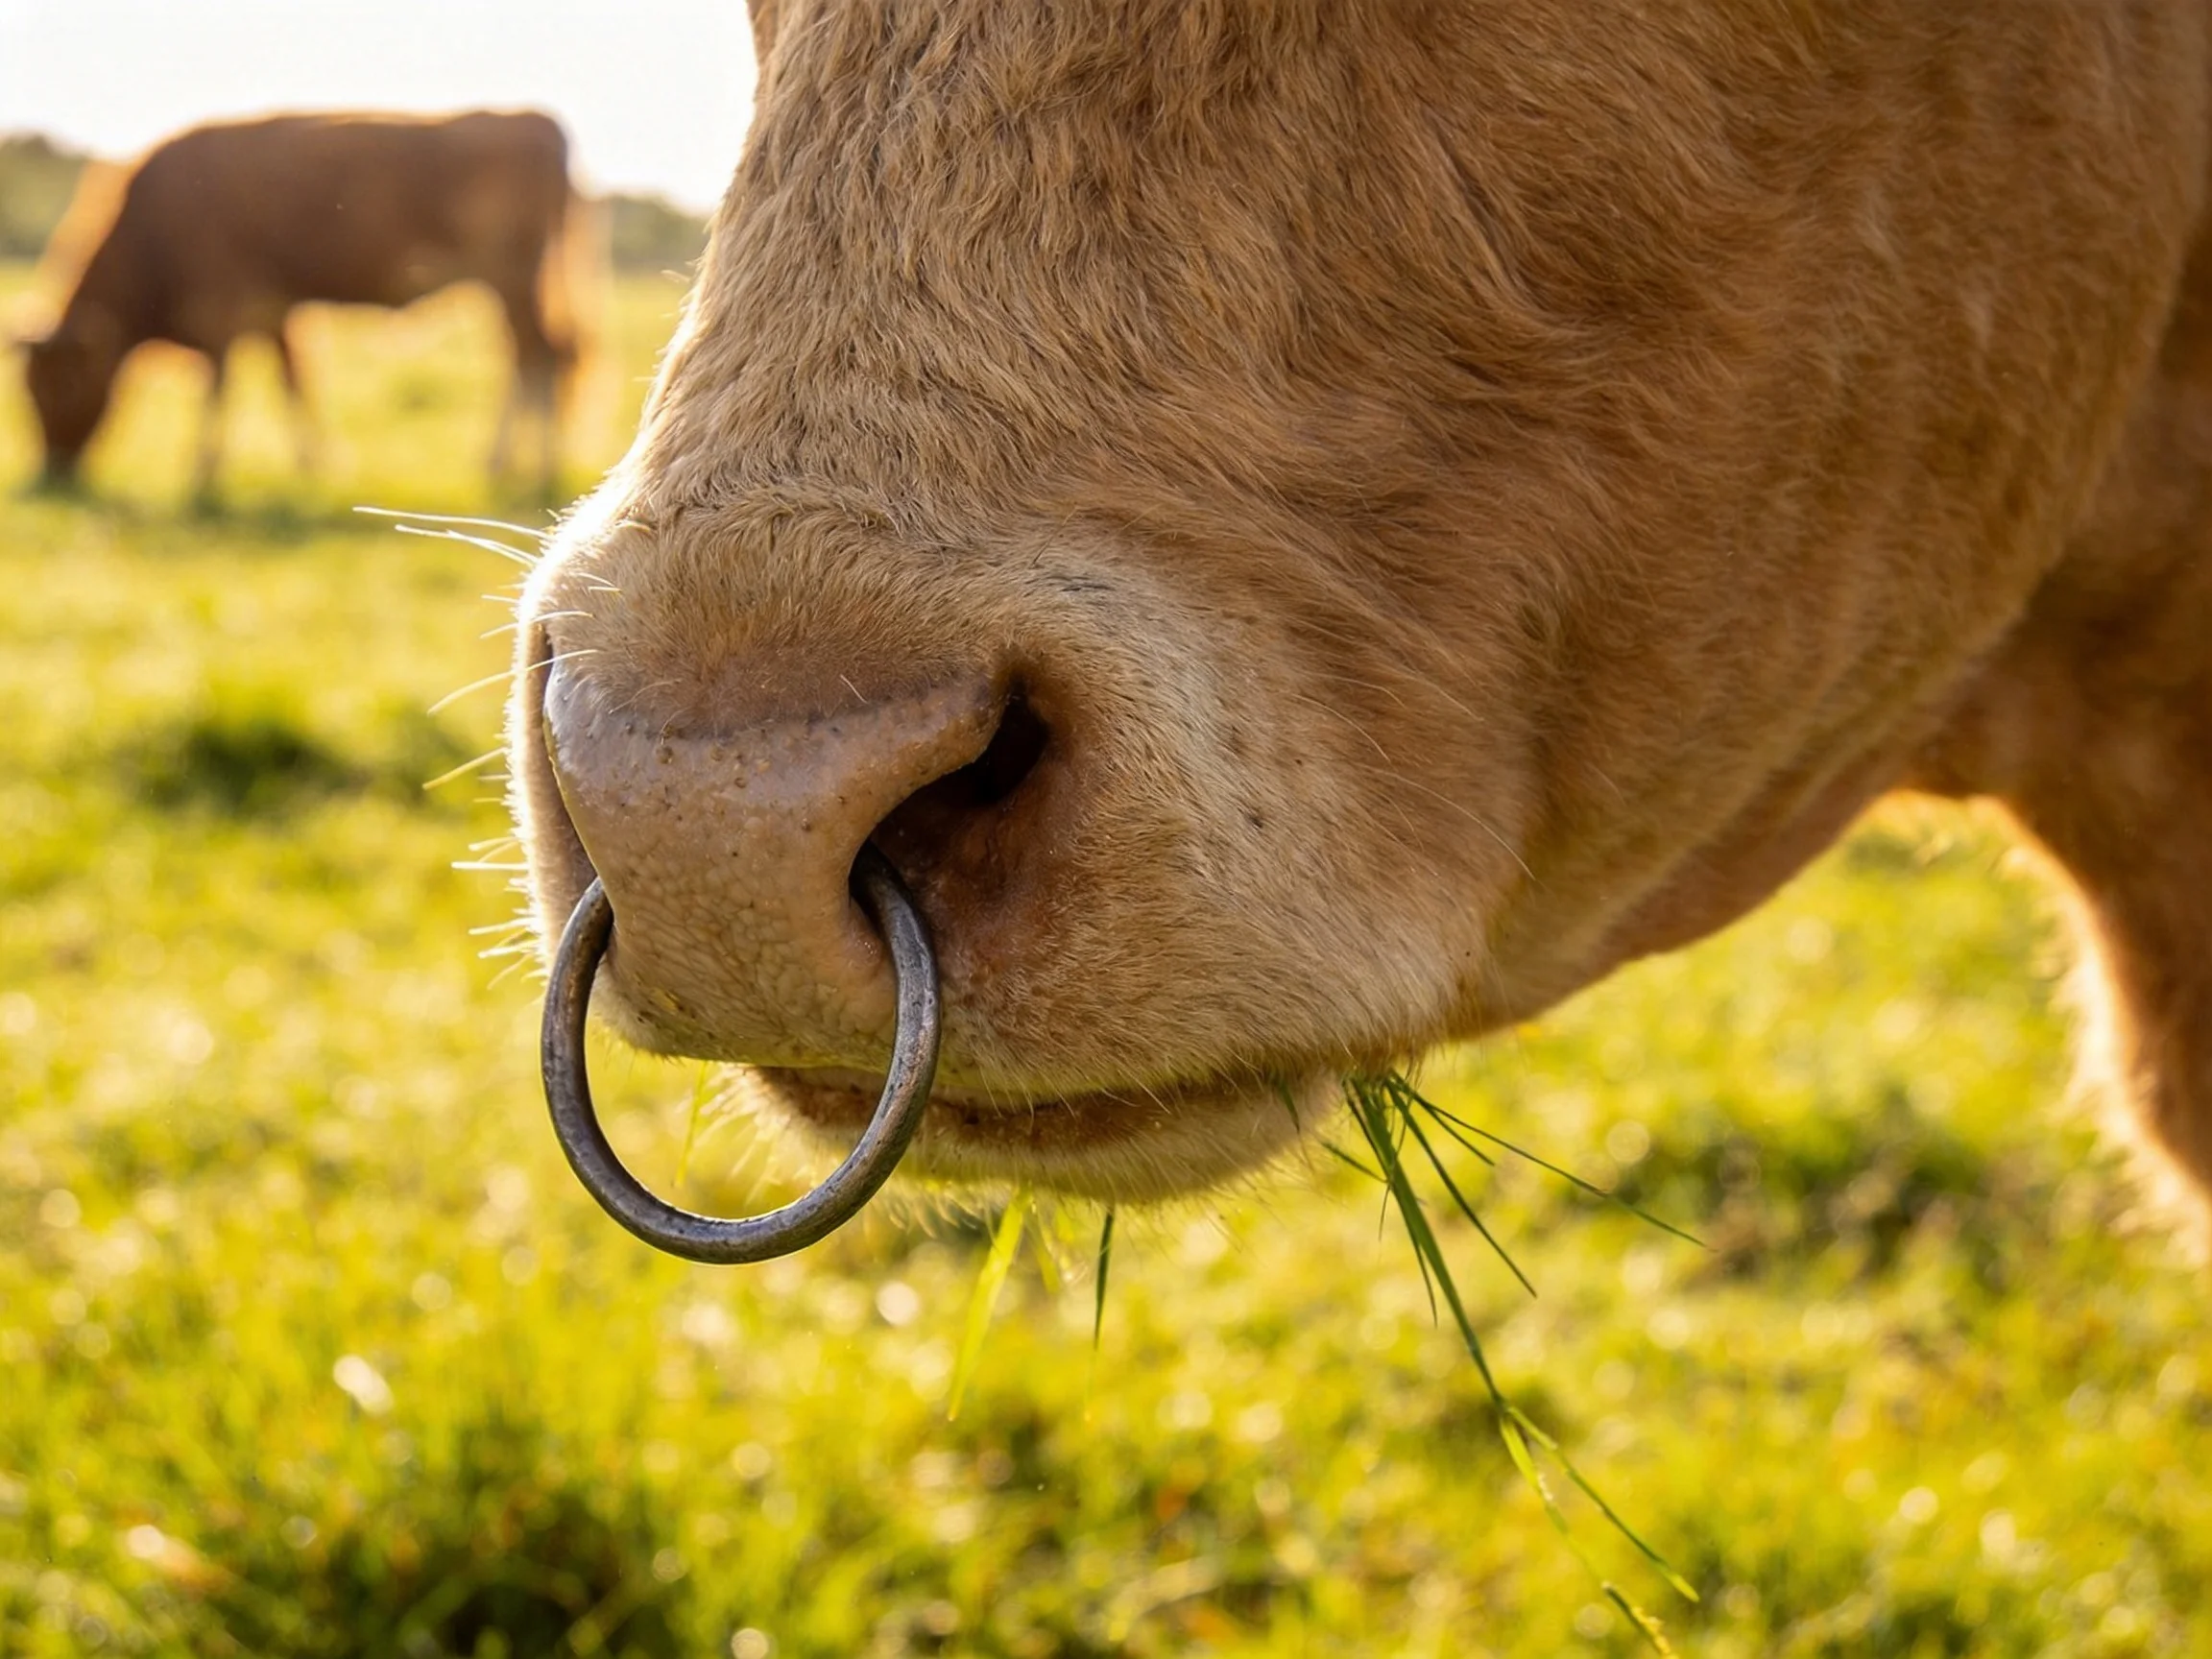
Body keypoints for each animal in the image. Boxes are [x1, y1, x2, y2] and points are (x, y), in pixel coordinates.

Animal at [22, 110, 586, 496]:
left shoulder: (220, 311)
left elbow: (219, 389)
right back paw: (508, 465)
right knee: (526, 357)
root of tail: (534, 120)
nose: (53, 470)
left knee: (540, 356)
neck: (152, 228)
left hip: (511, 278)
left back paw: (530, 467)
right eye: (25, 387)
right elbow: (293, 383)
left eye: (61, 384)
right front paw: (313, 467)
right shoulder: (277, 313)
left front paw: (202, 474)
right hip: (506, 286)